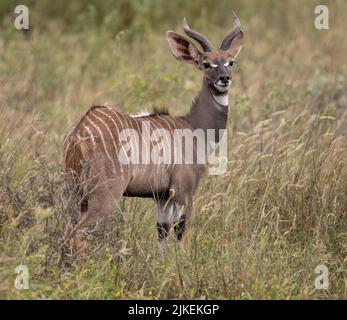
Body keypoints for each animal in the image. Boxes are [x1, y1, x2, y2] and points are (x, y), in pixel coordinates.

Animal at [62, 14, 243, 255]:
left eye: (230, 62)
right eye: (206, 63)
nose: (224, 79)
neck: (194, 127)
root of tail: (79, 132)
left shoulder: (163, 196)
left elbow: (162, 232)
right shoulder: (184, 191)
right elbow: (182, 232)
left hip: (75, 191)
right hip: (104, 195)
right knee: (79, 233)